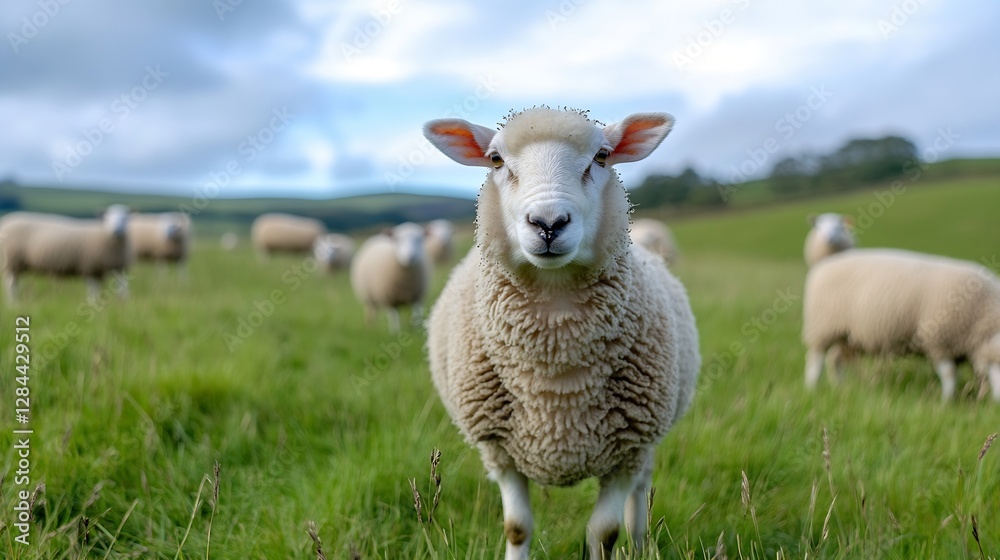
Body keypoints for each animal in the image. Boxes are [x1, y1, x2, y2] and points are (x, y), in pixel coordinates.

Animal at [0, 205, 132, 302]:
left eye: (125, 218)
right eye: (107, 218)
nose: (116, 231)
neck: (104, 235)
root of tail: (5, 221)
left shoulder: (113, 268)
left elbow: (117, 288)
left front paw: (121, 303)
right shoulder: (88, 267)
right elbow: (93, 290)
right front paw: (92, 303)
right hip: (12, 261)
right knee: (11, 285)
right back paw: (14, 304)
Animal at [423, 108, 701, 559]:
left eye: (602, 156)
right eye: (495, 160)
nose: (548, 222)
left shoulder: (627, 450)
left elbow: (604, 533)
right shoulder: (499, 451)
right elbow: (517, 527)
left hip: (646, 444)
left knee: (641, 492)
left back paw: (641, 541)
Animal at [803, 248, 1000, 401]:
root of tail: (826, 263)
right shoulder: (939, 341)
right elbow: (949, 375)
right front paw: (947, 402)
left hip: (849, 336)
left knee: (835, 359)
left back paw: (839, 387)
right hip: (823, 327)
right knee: (816, 358)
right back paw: (812, 386)